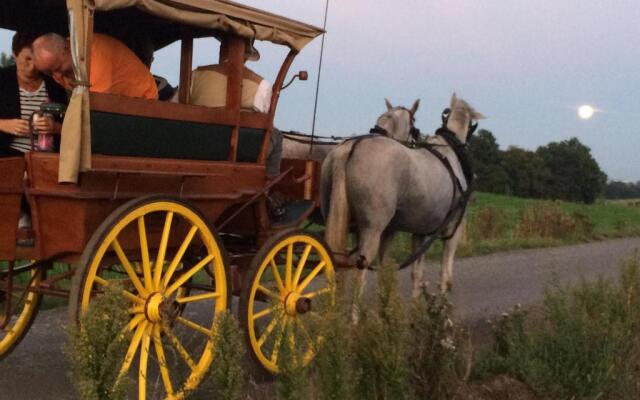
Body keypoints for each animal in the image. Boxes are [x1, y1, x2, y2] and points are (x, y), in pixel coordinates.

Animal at [320, 93, 484, 294]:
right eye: (414, 126)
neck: (449, 149)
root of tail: (352, 146)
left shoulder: (415, 232)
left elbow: (413, 272)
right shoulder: (452, 229)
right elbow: (445, 271)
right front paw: (442, 296)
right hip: (372, 229)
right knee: (360, 275)